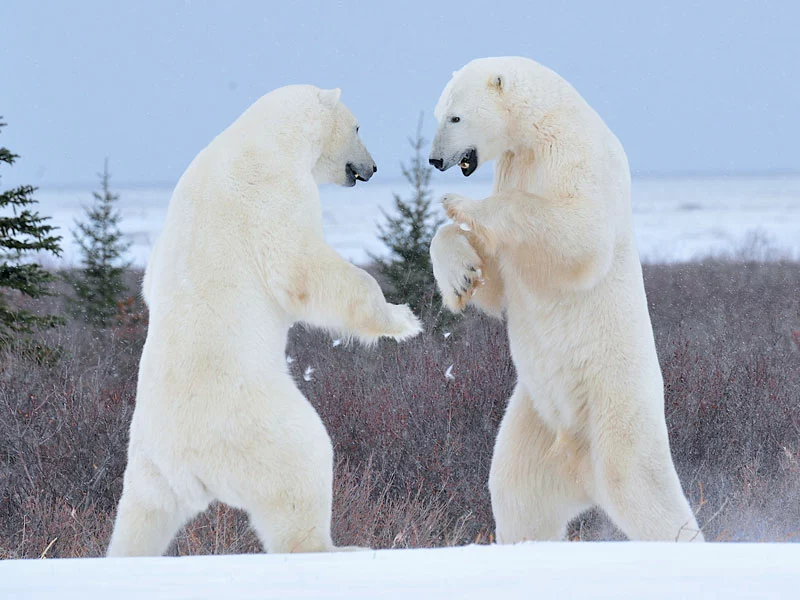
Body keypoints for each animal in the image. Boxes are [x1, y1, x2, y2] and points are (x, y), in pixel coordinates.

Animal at [108, 85, 422, 556]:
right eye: (358, 127)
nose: (371, 167)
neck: (267, 137)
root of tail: (190, 465)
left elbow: (150, 280)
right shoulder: (273, 189)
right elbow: (301, 265)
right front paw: (403, 319)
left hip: (147, 463)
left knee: (141, 516)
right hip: (260, 426)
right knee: (304, 465)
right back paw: (340, 547)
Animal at [428, 57, 704, 544]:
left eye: (455, 117)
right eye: (439, 114)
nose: (435, 159)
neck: (541, 123)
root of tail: (580, 465)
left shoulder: (574, 153)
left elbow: (577, 231)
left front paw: (460, 203)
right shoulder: (515, 162)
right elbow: (496, 277)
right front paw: (461, 275)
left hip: (615, 406)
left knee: (639, 486)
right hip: (536, 417)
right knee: (517, 493)